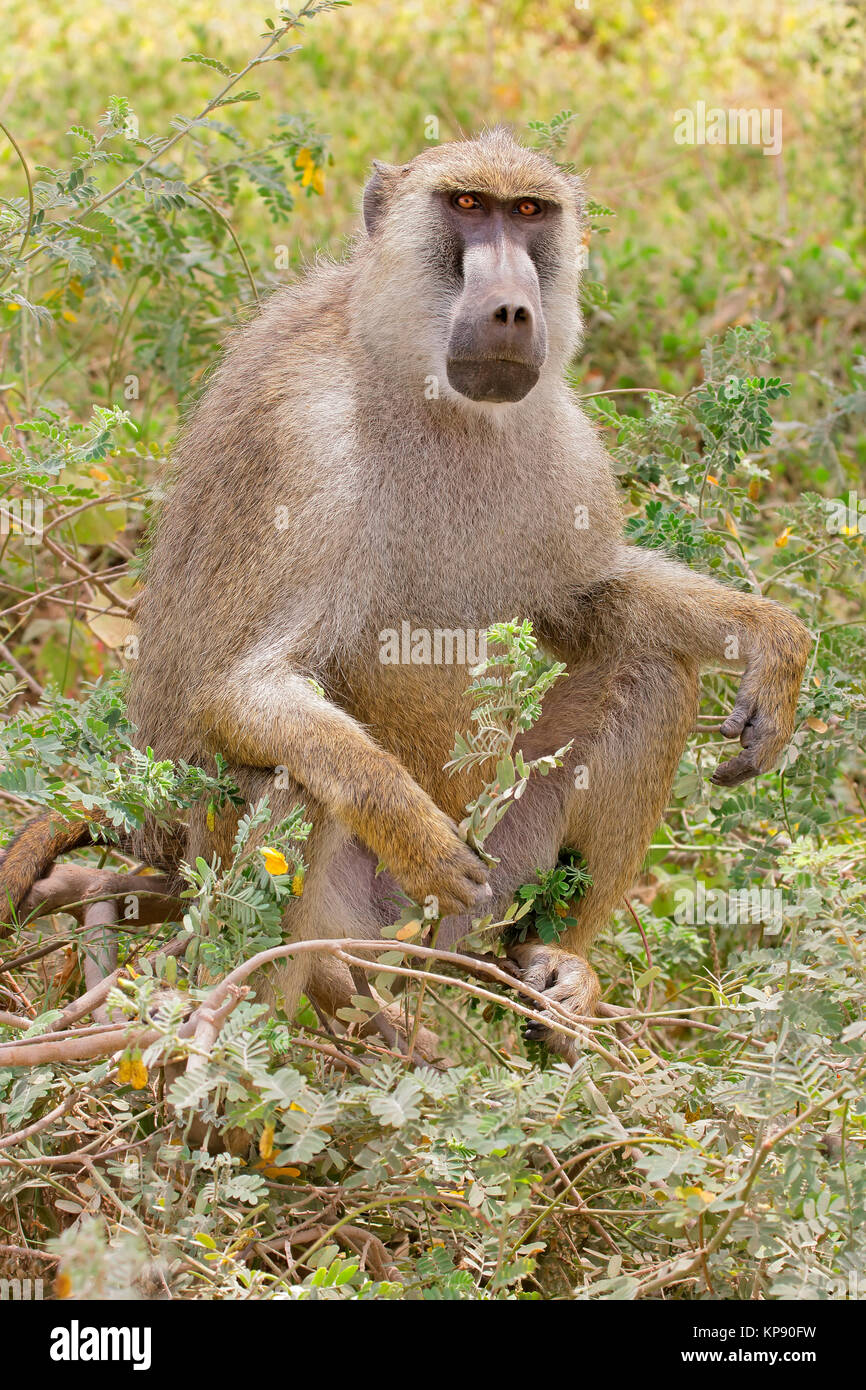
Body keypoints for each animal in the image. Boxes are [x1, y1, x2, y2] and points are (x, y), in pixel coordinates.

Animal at [1, 128, 811, 1060]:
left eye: (528, 212)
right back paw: (298, 1008)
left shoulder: (563, 441)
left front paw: (773, 643)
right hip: (339, 899)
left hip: (479, 897)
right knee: (287, 779)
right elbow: (242, 691)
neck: (430, 393)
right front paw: (416, 833)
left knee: (650, 665)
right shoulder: (309, 447)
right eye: (465, 205)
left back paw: (555, 962)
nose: (511, 309)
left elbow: (591, 601)